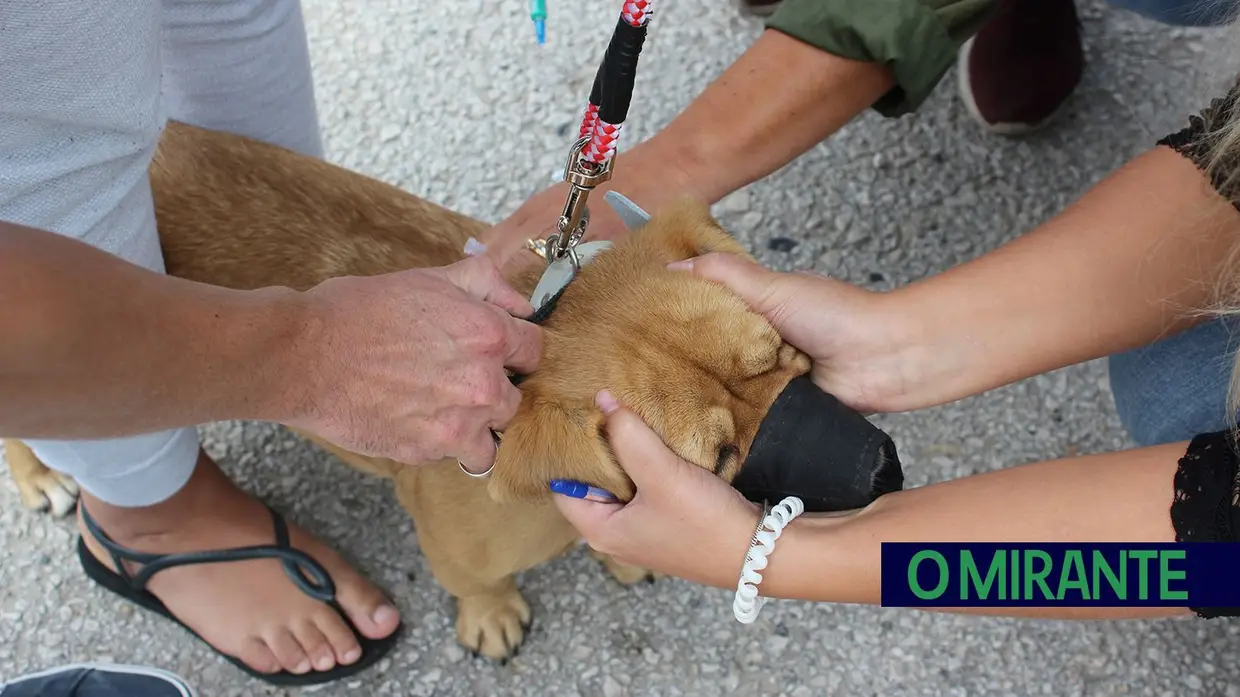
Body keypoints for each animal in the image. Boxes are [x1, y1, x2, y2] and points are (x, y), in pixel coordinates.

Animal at [4, 119, 813, 654]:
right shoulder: (456, 543)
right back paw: (41, 474)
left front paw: (619, 551)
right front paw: (492, 613)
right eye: (717, 459)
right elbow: (474, 581)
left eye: (786, 351)